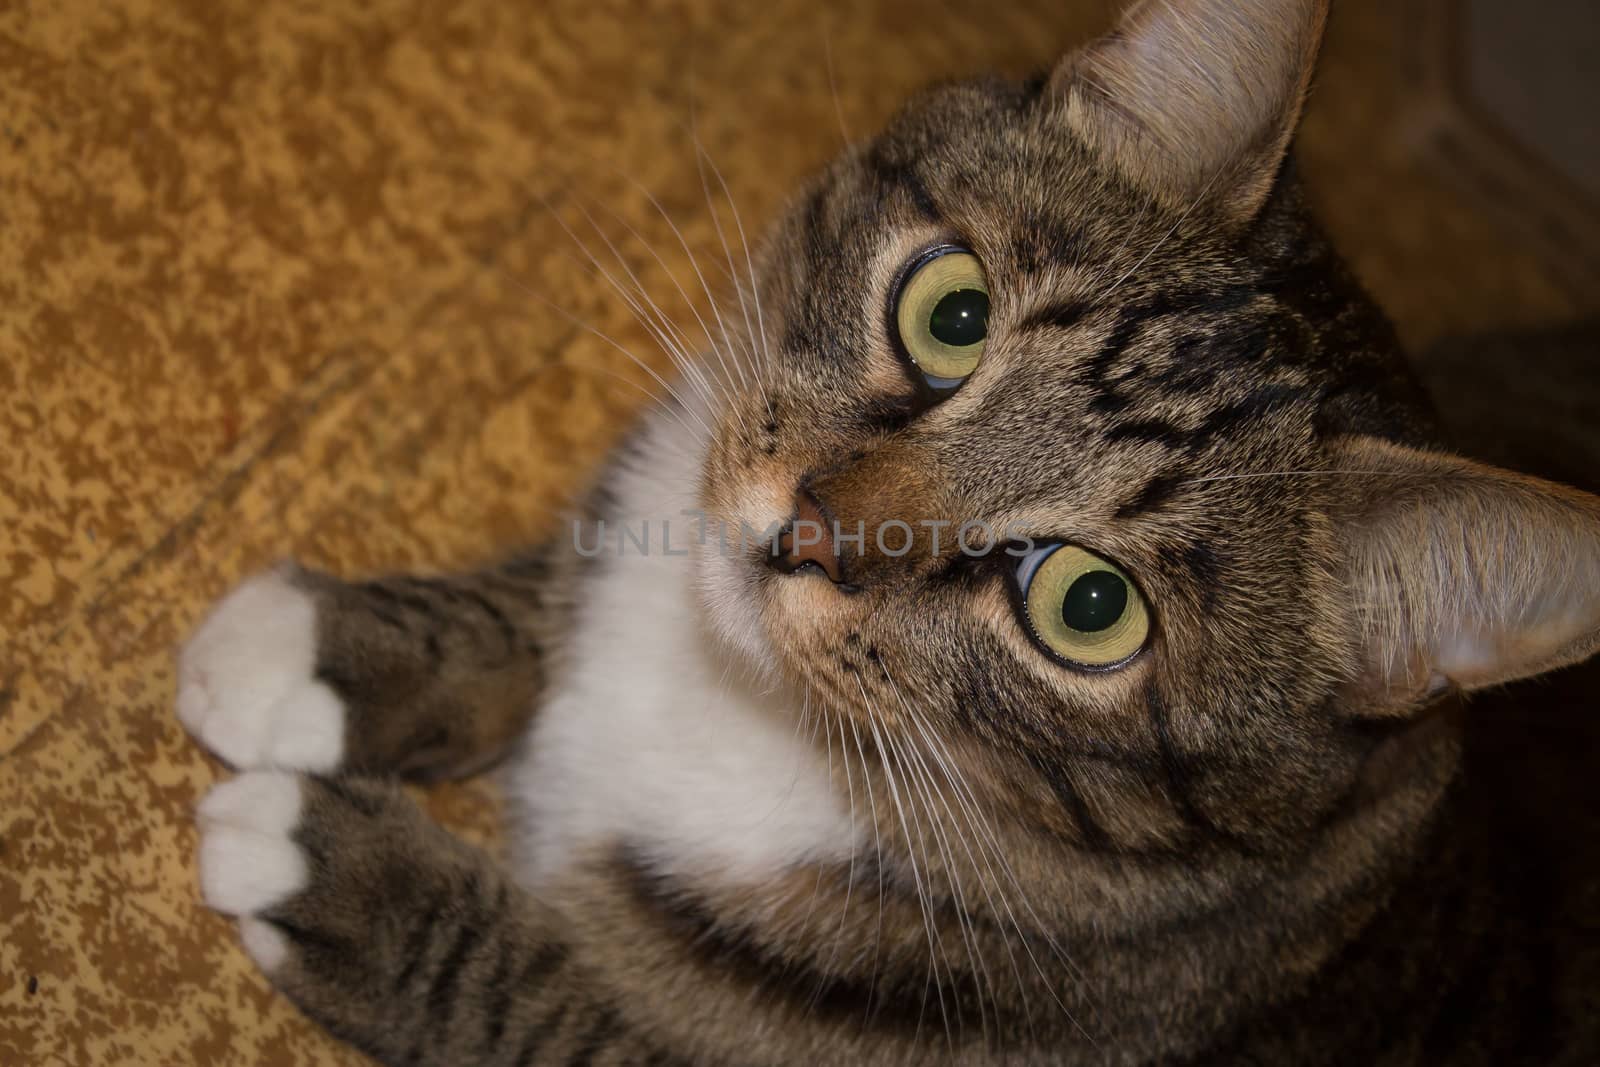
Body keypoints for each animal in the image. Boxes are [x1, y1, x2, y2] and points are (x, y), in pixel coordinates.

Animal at [175, 0, 1600, 1062]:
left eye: (1090, 604)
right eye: (951, 314)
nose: (801, 531)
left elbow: (550, 1004)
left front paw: (336, 867)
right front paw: (328, 654)